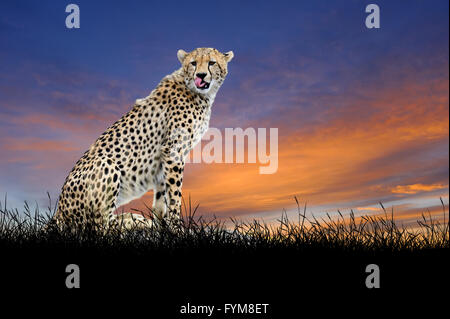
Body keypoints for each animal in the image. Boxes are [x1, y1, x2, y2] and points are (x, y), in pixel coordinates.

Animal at [52, 47, 234, 231]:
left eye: (212, 63)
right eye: (194, 63)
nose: (201, 75)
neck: (197, 91)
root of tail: (58, 212)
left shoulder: (163, 160)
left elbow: (161, 199)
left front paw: (162, 227)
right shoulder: (173, 151)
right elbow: (174, 194)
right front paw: (177, 228)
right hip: (106, 164)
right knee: (100, 225)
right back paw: (134, 220)